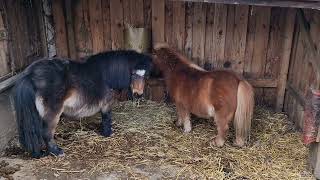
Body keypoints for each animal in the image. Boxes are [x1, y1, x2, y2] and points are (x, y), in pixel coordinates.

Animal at [12, 49, 152, 158]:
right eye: (132, 73)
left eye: (145, 75)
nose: (138, 94)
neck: (106, 75)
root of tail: (30, 75)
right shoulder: (106, 103)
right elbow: (106, 117)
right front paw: (108, 133)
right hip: (53, 112)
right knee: (46, 133)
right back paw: (56, 152)